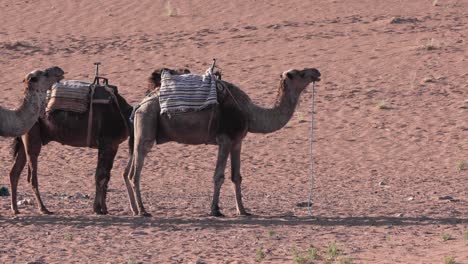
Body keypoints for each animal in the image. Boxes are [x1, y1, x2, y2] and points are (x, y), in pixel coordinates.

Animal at [124, 66, 322, 217]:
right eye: (300, 73)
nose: (316, 72)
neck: (250, 113)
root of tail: (140, 103)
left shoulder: (237, 142)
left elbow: (237, 177)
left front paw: (243, 210)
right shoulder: (225, 140)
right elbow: (219, 176)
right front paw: (215, 210)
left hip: (140, 130)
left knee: (127, 171)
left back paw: (135, 209)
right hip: (147, 123)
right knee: (135, 172)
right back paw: (143, 210)